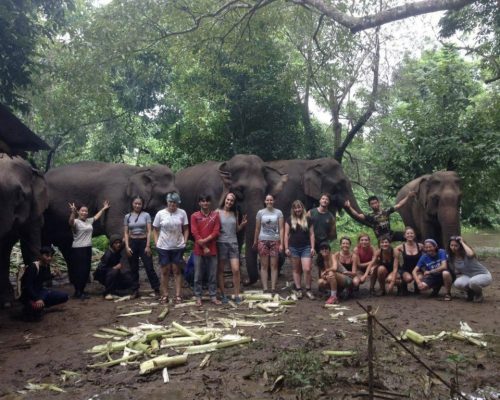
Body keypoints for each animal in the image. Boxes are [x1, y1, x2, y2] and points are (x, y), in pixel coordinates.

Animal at [176, 154, 288, 284]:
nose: (246, 281)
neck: (227, 164)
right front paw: (226, 272)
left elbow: (238, 233)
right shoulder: (211, 195)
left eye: (265, 189)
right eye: (239, 189)